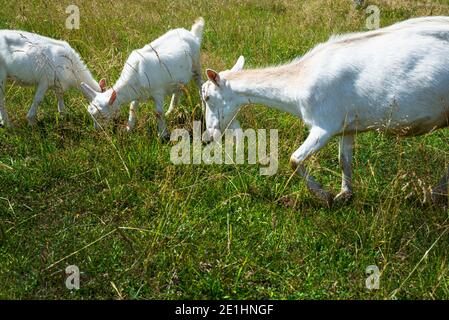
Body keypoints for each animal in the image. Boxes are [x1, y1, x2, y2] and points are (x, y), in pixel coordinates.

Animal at [202, 16, 449, 208]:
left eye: (206, 97)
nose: (207, 136)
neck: (299, 79)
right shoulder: (347, 127)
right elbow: (344, 160)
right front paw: (344, 195)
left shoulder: (324, 125)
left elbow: (294, 159)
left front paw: (325, 196)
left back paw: (432, 195)